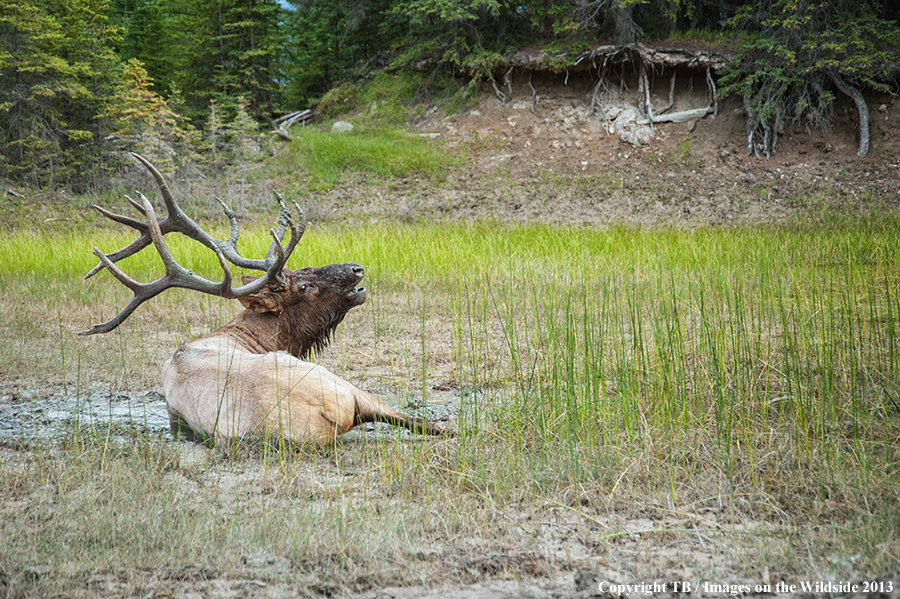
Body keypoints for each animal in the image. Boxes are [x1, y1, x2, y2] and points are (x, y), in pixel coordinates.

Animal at [80, 154, 446, 446]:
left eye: (304, 268)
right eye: (304, 286)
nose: (356, 269)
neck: (252, 338)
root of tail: (331, 409)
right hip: (339, 383)